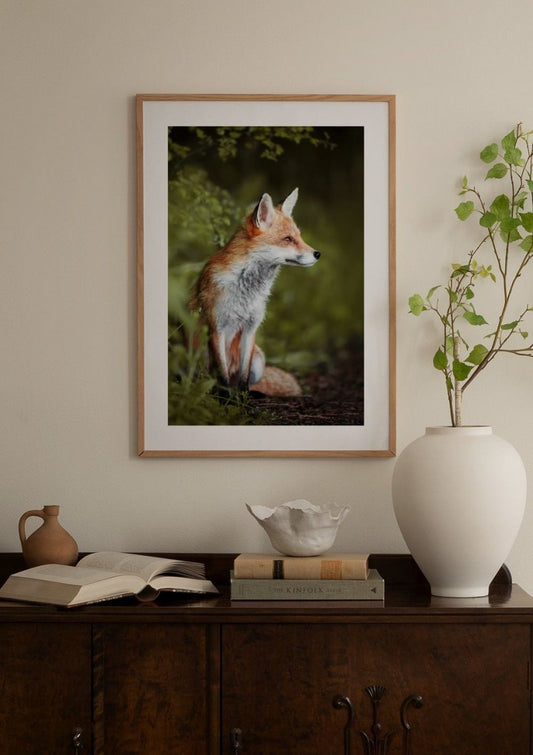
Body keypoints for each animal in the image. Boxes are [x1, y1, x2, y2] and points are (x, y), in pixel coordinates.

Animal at [190, 188, 320, 391]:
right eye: (288, 239)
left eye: (299, 237)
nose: (317, 254)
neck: (246, 290)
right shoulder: (217, 328)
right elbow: (222, 376)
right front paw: (225, 396)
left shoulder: (251, 328)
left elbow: (244, 377)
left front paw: (243, 397)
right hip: (200, 352)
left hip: (259, 361)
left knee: (246, 381)